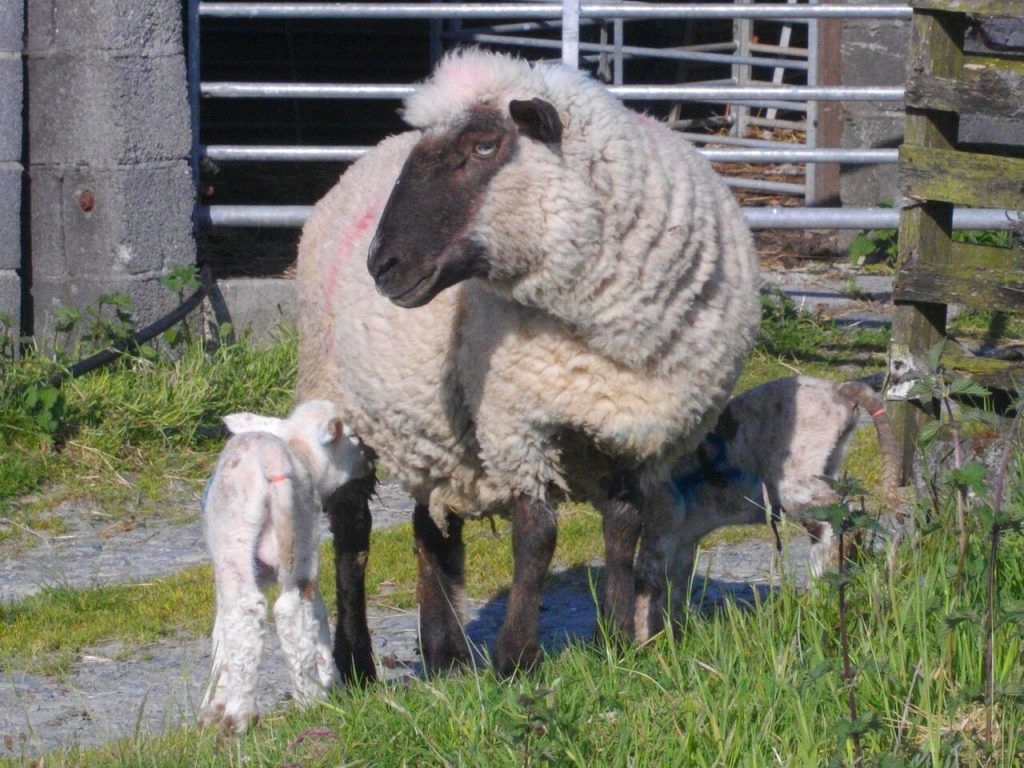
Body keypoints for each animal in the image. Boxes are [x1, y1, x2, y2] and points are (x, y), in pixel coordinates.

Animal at [195, 399, 368, 737]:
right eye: (354, 437)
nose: (372, 461)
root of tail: (273, 460)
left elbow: (223, 632)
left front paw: (215, 705)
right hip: (299, 532)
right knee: (293, 605)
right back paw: (309, 699)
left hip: (234, 540)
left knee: (246, 612)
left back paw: (240, 715)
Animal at [296, 51, 761, 679]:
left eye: (484, 146)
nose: (382, 264)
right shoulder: (517, 423)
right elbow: (536, 537)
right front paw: (516, 656)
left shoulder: (635, 435)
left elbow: (624, 528)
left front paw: (616, 639)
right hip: (335, 397)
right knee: (353, 535)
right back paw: (356, 667)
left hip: (433, 428)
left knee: (429, 527)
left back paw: (444, 654)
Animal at [634, 376, 901, 638]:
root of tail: (839, 389)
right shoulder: (683, 541)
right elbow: (675, 589)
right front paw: (674, 634)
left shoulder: (661, 531)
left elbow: (647, 586)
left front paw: (644, 641)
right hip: (826, 468)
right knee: (828, 525)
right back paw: (820, 591)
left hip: (795, 481)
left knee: (842, 517)